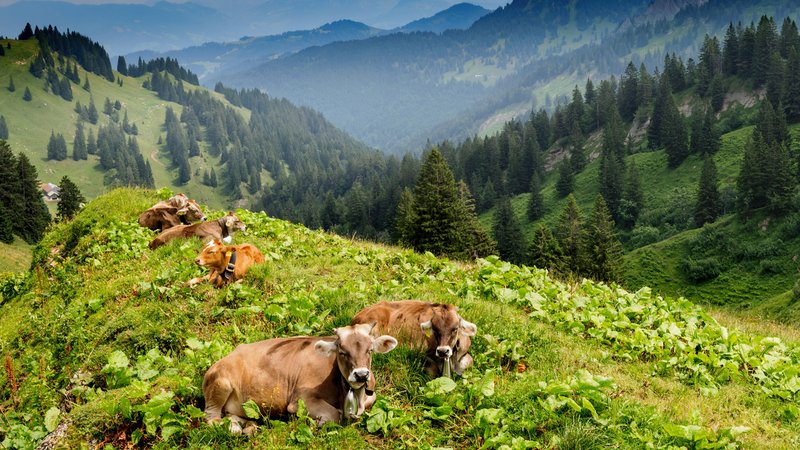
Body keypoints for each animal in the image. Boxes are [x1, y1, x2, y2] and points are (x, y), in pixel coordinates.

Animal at [202, 323, 398, 433]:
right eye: (342, 352)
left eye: (370, 350)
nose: (361, 374)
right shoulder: (300, 399)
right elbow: (335, 414)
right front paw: (315, 423)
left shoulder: (371, 395)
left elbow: (372, 400)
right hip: (221, 384)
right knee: (211, 418)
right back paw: (235, 429)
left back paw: (248, 427)